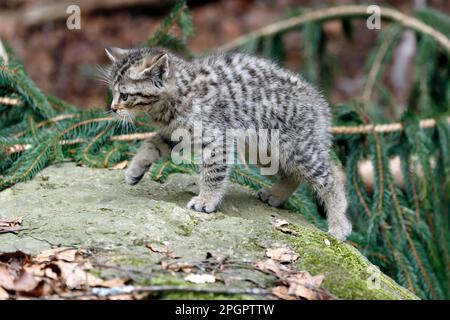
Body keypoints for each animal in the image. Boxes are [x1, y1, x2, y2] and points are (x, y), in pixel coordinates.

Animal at [104, 46, 352, 239]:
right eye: (113, 92)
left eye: (124, 95)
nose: (113, 108)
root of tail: (319, 103)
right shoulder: (175, 133)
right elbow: (150, 144)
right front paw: (135, 169)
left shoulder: (216, 138)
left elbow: (213, 173)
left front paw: (206, 199)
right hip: (264, 149)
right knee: (293, 175)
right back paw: (276, 194)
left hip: (298, 148)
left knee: (331, 177)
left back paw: (339, 223)